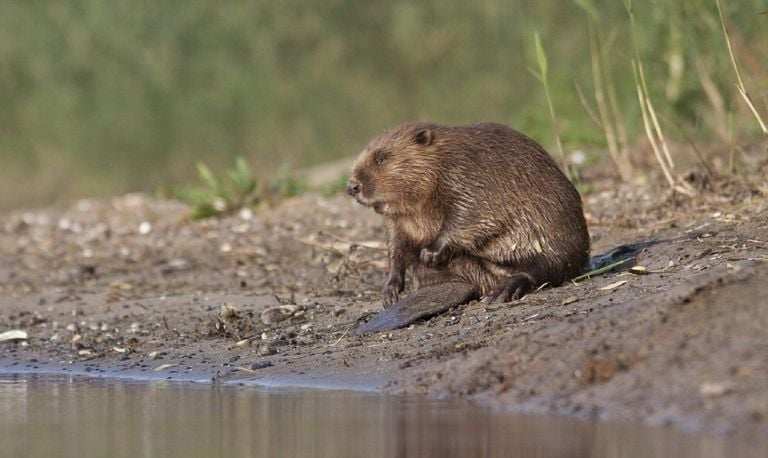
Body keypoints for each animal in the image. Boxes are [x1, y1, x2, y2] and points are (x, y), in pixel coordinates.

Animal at [348, 121, 592, 330]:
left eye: (381, 158)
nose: (351, 187)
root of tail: (469, 284)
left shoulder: (467, 175)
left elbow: (469, 215)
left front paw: (431, 253)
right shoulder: (397, 219)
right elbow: (396, 245)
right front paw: (389, 292)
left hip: (555, 252)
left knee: (538, 269)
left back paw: (499, 293)